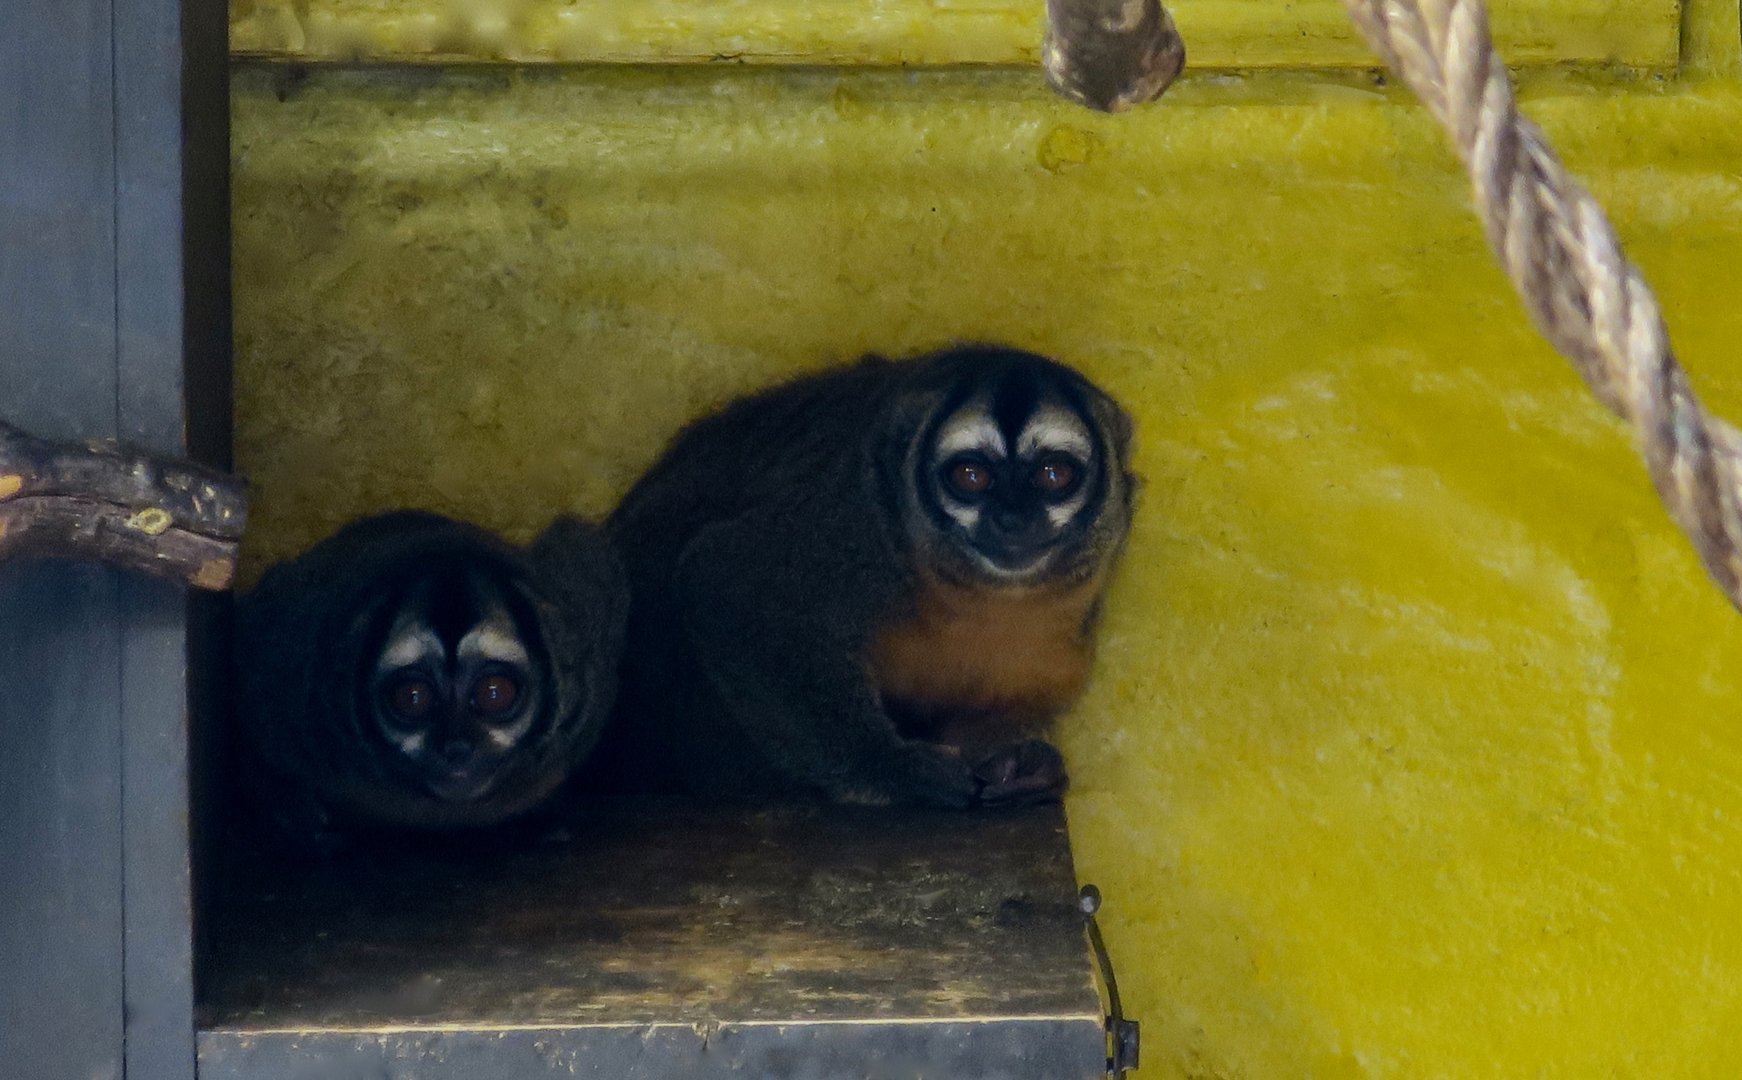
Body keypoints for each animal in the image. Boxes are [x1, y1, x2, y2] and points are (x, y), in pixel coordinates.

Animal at [234, 510, 627, 852]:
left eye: (495, 693)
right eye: (412, 697)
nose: (456, 747)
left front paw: (546, 816)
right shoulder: (287, 672)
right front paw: (293, 813)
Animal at [602, 344, 1135, 809]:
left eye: (1053, 474)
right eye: (970, 476)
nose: (1012, 519)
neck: (975, 592)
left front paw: (1019, 765)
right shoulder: (855, 529)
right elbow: (724, 577)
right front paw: (891, 768)